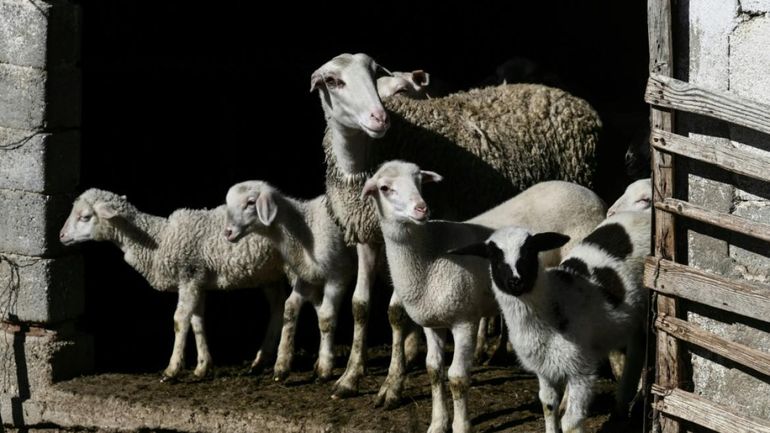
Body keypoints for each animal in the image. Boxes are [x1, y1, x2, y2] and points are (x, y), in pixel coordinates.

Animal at [59, 188, 288, 381]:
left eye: (85, 216)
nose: (61, 236)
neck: (158, 239)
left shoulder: (188, 275)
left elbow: (180, 321)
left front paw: (172, 370)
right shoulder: (196, 280)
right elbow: (197, 321)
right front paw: (202, 367)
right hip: (268, 274)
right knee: (279, 306)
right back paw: (261, 360)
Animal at [223, 181, 355, 382]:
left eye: (251, 202)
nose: (227, 232)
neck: (306, 229)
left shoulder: (338, 275)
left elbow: (326, 318)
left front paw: (325, 367)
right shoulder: (306, 276)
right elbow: (290, 309)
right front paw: (282, 365)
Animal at [312, 52, 603, 399]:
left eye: (374, 77)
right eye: (333, 81)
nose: (379, 118)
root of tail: (571, 99)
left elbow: (397, 313)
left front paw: (393, 383)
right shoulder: (366, 236)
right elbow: (360, 305)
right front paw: (351, 376)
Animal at [362, 160, 608, 429]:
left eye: (419, 181)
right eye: (385, 188)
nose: (421, 209)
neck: (429, 256)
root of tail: (590, 195)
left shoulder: (464, 320)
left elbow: (457, 377)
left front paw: (461, 426)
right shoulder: (432, 322)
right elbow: (434, 370)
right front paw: (437, 423)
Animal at [451, 210, 651, 433]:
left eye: (529, 252)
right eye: (494, 258)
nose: (516, 281)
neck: (553, 306)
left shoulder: (582, 369)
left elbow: (571, 422)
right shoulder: (544, 368)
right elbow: (548, 406)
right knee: (637, 350)